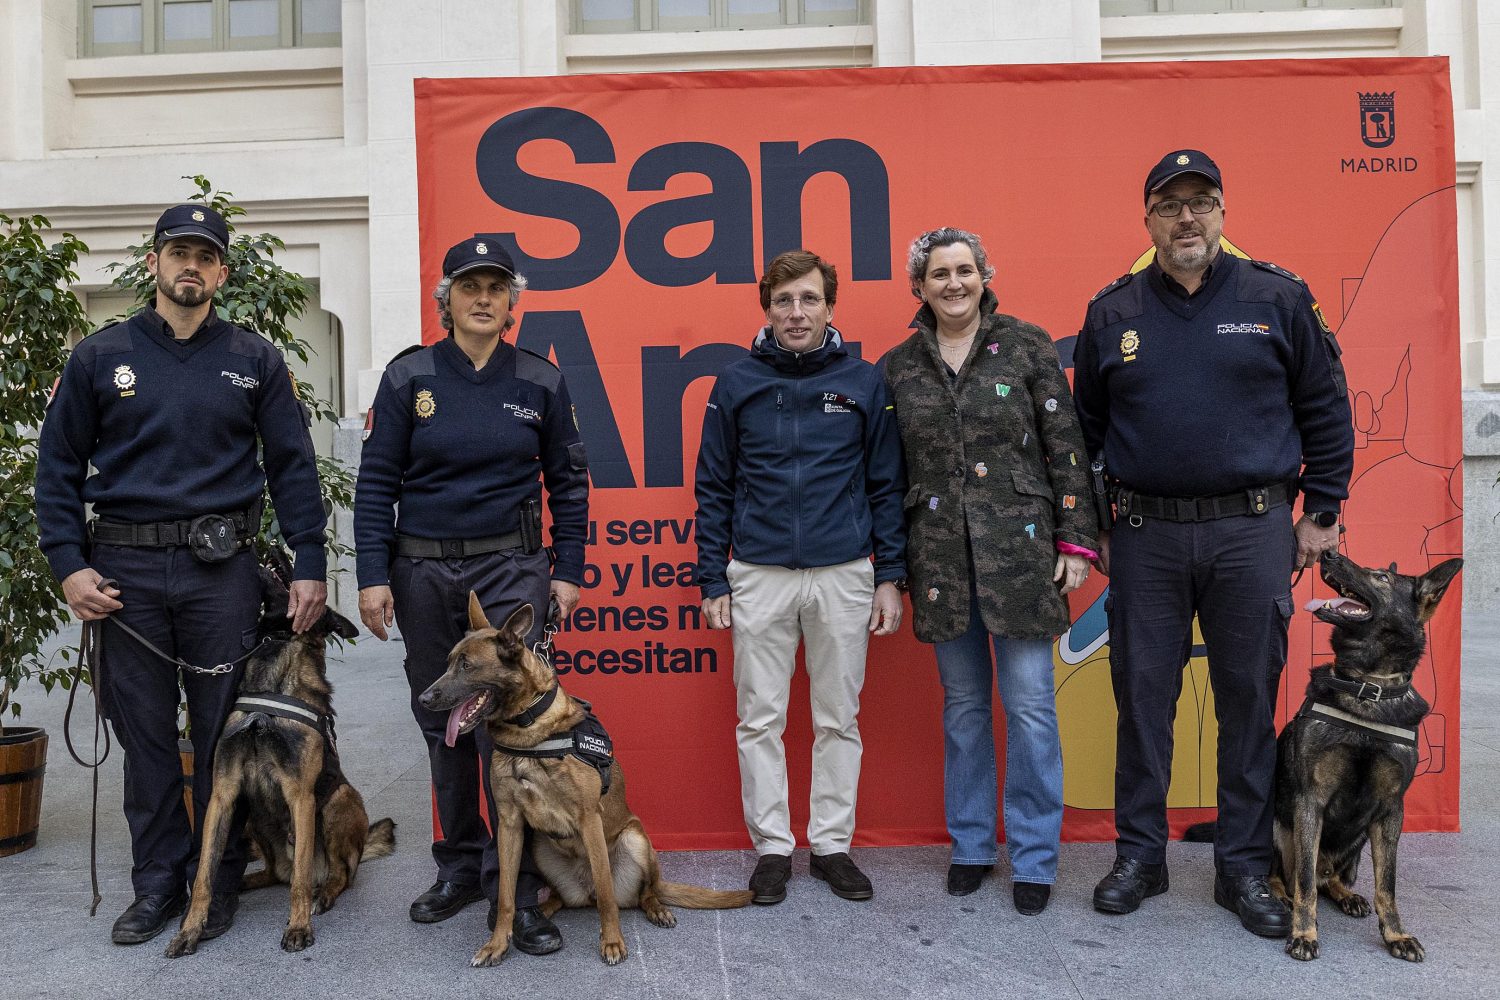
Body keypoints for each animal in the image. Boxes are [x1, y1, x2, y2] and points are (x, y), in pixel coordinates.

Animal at [166, 565, 395, 957]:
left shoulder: (301, 798)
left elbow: (300, 882)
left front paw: (298, 927)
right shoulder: (224, 794)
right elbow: (203, 876)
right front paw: (190, 930)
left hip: (339, 802)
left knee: (336, 875)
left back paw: (324, 894)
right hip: (253, 817)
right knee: (276, 874)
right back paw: (245, 882)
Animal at [419, 594, 753, 968]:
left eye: (466, 665)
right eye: (449, 662)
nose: (423, 698)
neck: (529, 731)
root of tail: (583, 889)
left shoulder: (589, 818)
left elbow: (607, 896)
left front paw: (612, 941)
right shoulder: (509, 823)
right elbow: (506, 895)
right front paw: (497, 943)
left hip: (635, 840)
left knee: (641, 892)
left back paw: (656, 908)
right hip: (539, 846)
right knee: (563, 898)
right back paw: (543, 910)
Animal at [1273, 550, 1462, 962]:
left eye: (1381, 578)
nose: (1328, 553)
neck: (1367, 688)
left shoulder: (1391, 809)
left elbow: (1386, 883)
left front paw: (1396, 934)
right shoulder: (1310, 800)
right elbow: (1304, 881)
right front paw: (1304, 933)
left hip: (1358, 840)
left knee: (1328, 879)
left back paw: (1347, 895)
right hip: (1279, 827)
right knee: (1289, 876)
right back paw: (1280, 899)